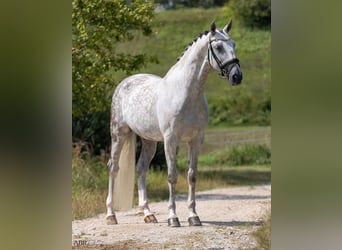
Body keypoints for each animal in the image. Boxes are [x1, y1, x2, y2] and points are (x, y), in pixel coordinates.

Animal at [105, 20, 242, 227]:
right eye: (218, 47)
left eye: (233, 44)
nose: (237, 76)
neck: (187, 93)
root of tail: (124, 83)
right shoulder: (171, 139)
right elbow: (172, 176)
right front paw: (173, 218)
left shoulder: (196, 140)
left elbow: (192, 175)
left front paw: (193, 216)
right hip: (118, 134)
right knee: (113, 167)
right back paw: (111, 215)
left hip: (149, 141)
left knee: (141, 169)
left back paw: (148, 214)